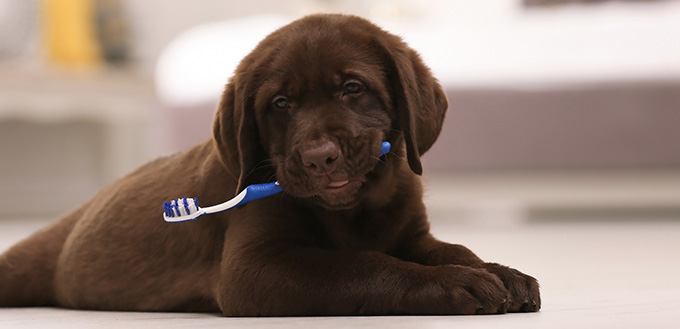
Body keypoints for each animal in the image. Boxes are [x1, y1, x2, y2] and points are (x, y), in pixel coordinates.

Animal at [1, 13, 540, 316]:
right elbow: (362, 264)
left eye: (353, 88)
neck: (356, 211)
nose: (319, 158)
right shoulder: (253, 268)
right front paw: (453, 283)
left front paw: (500, 272)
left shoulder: (413, 235)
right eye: (280, 103)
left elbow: (455, 248)